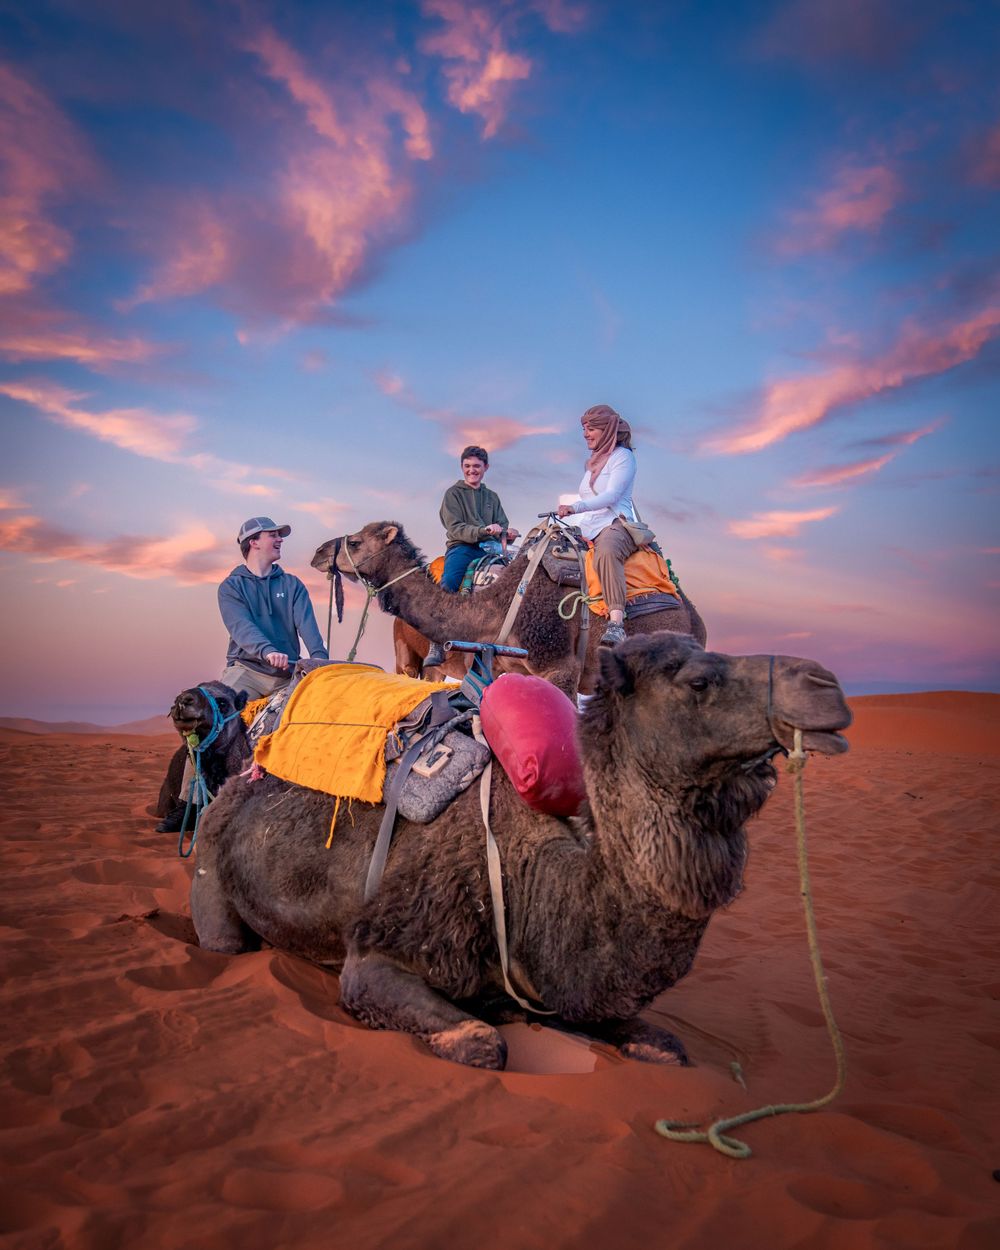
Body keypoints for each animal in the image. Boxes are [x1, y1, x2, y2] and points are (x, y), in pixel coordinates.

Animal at [190, 632, 851, 1069]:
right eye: (697, 681)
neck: (537, 882)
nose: (826, 685)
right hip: (211, 866)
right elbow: (482, 1043)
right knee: (223, 940)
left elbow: (665, 1047)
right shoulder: (380, 954)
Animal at [313, 521, 707, 697]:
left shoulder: (560, 667)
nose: (318, 553)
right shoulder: (501, 666)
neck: (497, 605)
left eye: (355, 541)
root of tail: (696, 618)